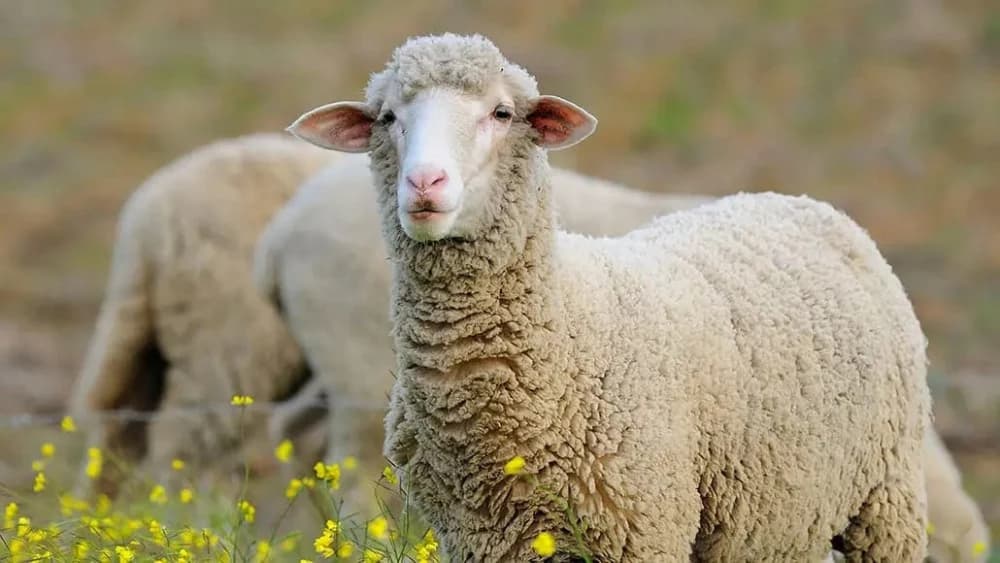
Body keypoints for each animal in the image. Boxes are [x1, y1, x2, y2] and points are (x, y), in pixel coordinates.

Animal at [285, 33, 930, 562]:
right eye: (389, 116)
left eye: (501, 113)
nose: (425, 184)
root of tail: (794, 199)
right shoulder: (479, 537)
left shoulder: (644, 524)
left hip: (890, 496)